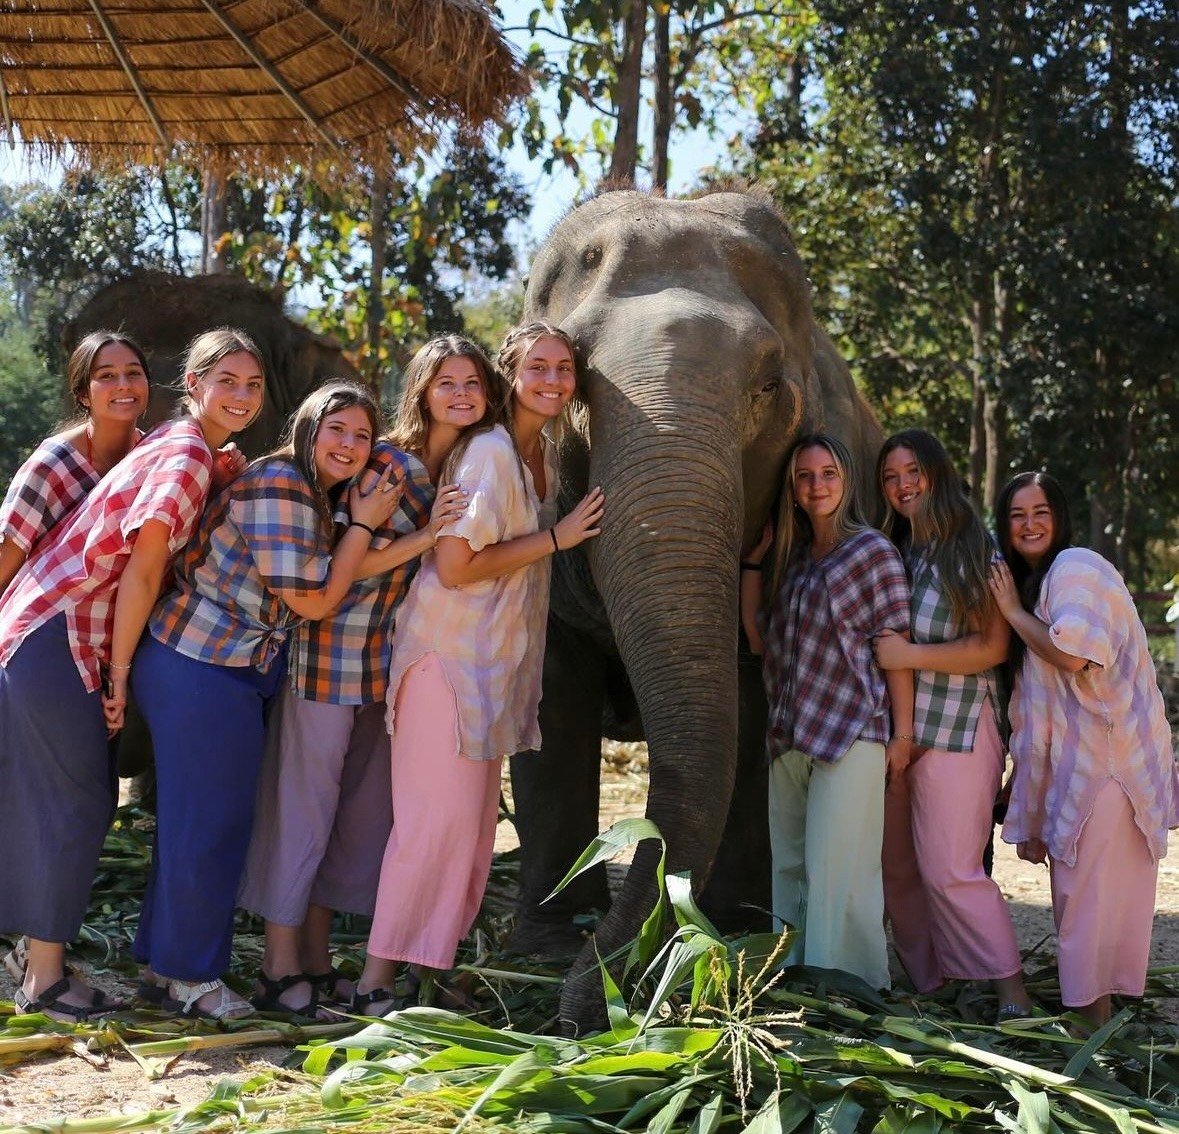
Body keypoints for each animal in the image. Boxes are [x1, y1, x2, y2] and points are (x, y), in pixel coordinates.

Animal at [506, 183, 886, 1027]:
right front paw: (547, 942)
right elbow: (550, 697)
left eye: (768, 385)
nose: (586, 1014)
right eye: (572, 384)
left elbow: (748, 702)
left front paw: (734, 933)